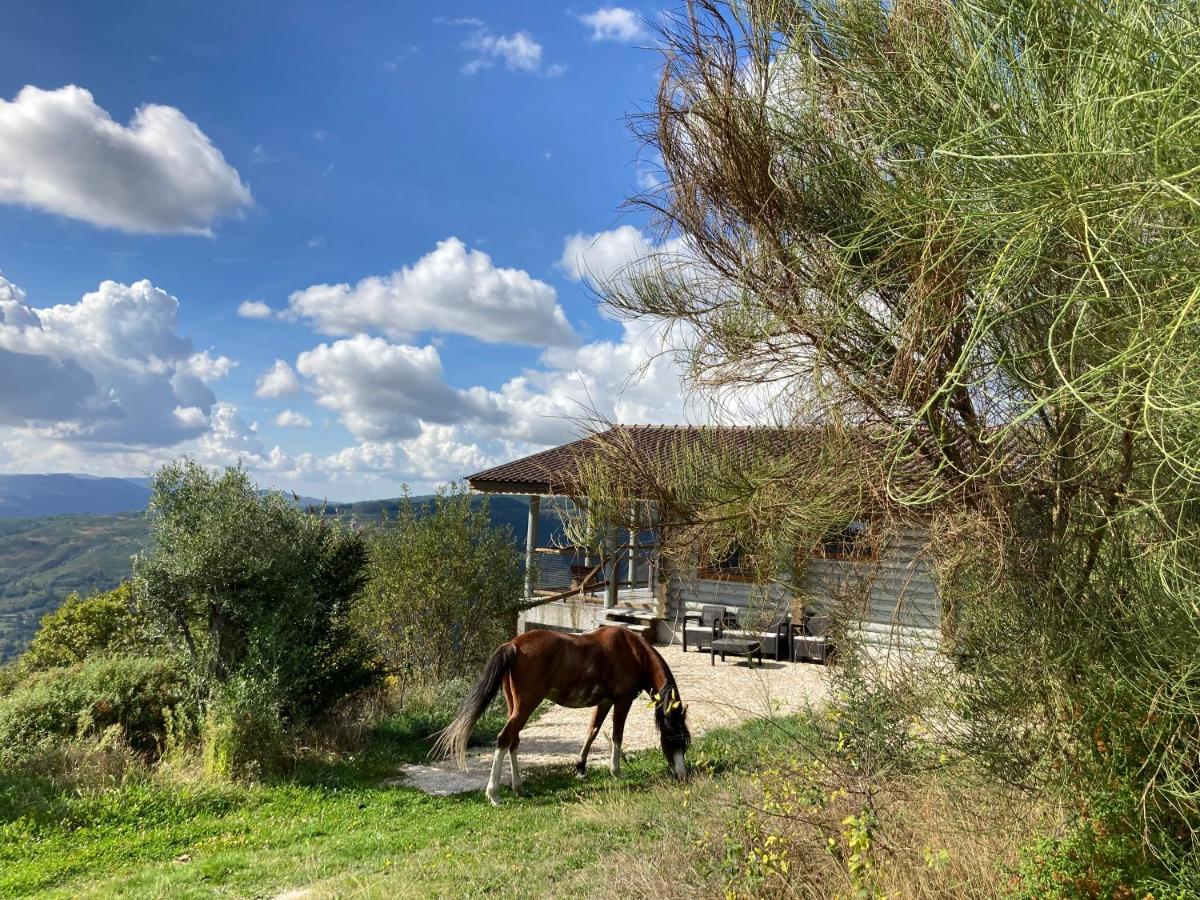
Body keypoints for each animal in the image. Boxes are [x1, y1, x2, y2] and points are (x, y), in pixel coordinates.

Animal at [436, 628, 691, 811]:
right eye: (673, 738)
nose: (682, 775)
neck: (633, 651)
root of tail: (514, 646)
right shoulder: (622, 701)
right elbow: (617, 735)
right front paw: (617, 771)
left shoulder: (604, 702)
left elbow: (593, 731)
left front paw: (581, 767)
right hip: (526, 706)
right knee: (504, 739)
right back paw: (494, 794)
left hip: (514, 706)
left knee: (513, 741)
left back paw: (519, 788)